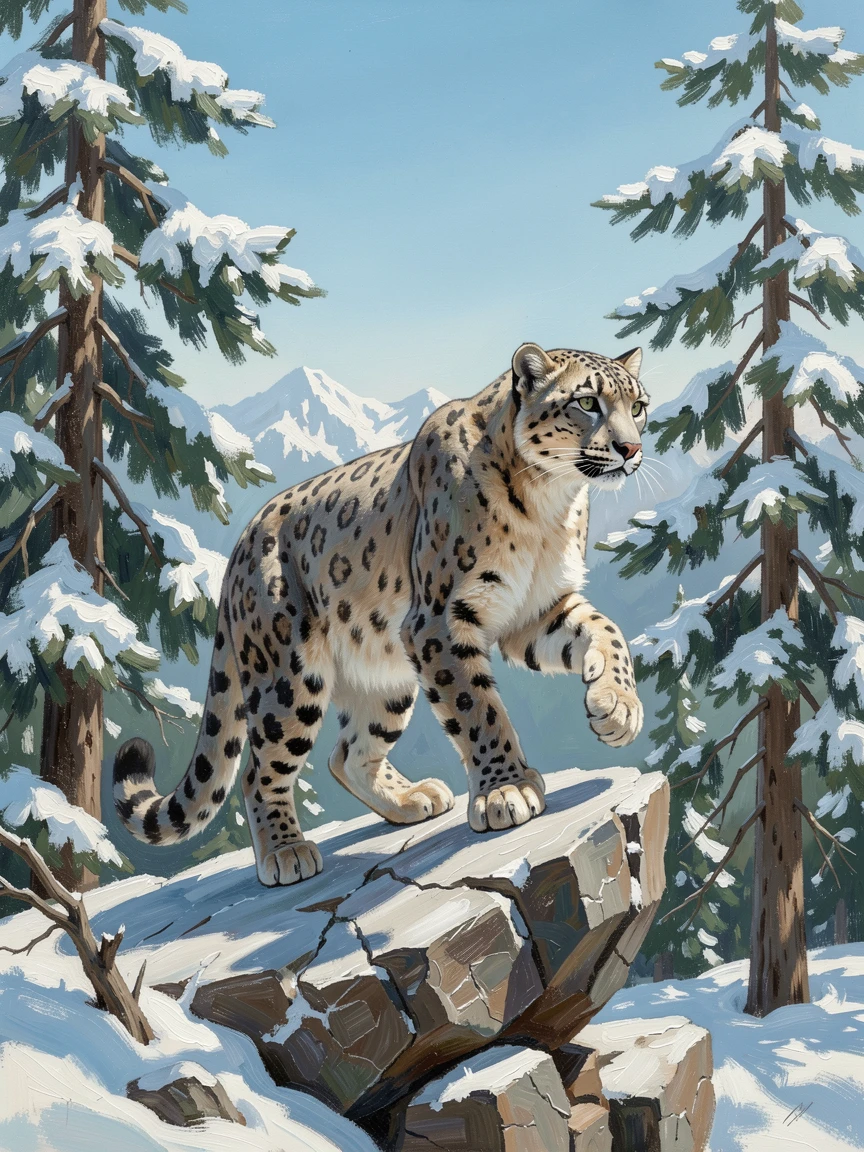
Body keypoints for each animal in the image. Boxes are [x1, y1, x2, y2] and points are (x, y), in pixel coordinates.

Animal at [114, 342, 649, 887]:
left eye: (638, 406)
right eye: (587, 403)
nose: (631, 448)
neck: (550, 506)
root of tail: (238, 551)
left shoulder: (536, 611)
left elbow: (608, 630)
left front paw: (617, 708)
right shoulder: (440, 620)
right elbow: (477, 707)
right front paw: (507, 788)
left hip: (386, 680)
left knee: (348, 752)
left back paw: (412, 799)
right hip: (287, 679)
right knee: (258, 770)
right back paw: (286, 852)